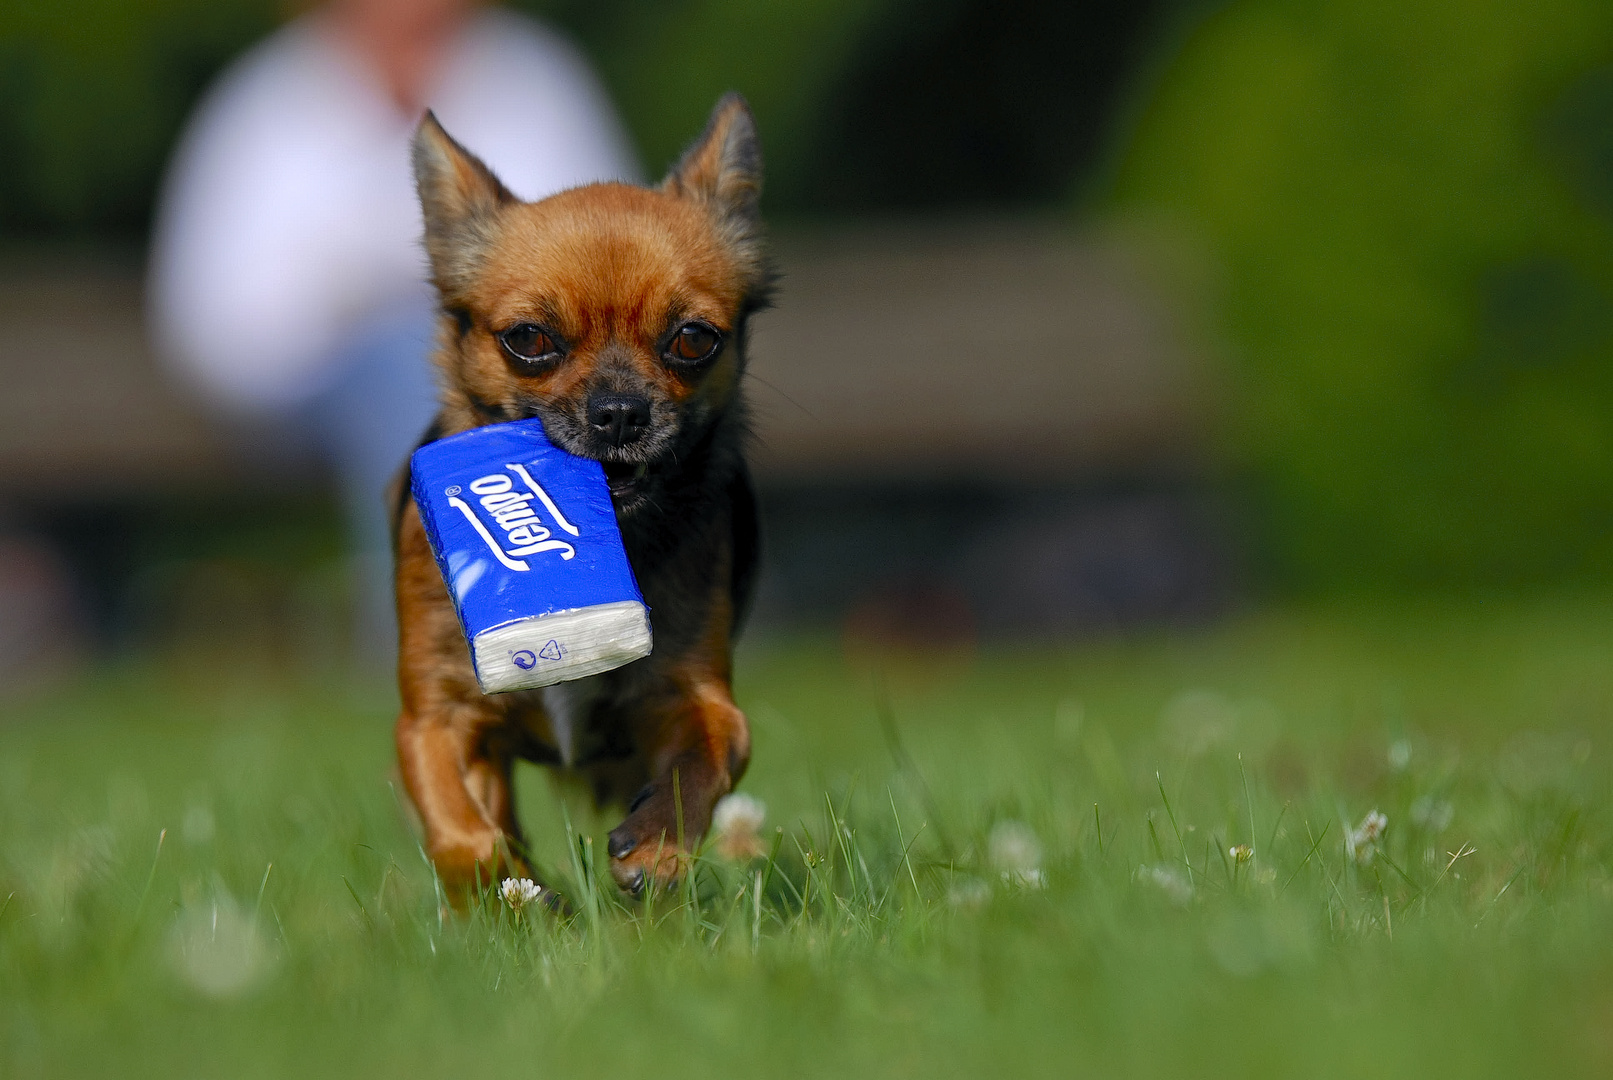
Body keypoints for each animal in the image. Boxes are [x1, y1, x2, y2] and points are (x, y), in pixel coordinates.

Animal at [388, 97, 767, 902]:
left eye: (694, 340)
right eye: (529, 339)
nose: (620, 412)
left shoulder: (694, 698)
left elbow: (709, 754)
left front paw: (657, 846)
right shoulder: (436, 718)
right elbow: (462, 835)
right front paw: (509, 893)